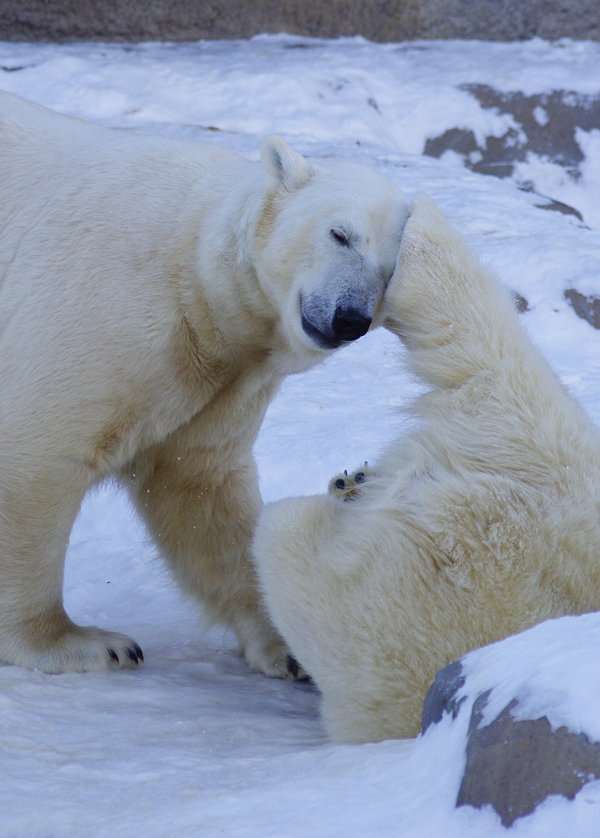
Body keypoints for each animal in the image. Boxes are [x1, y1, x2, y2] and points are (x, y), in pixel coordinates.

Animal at [0, 92, 410, 680]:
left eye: (390, 269)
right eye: (340, 234)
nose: (349, 317)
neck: (192, 276)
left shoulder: (227, 376)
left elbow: (201, 490)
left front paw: (292, 644)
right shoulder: (108, 309)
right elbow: (39, 453)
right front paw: (83, 643)